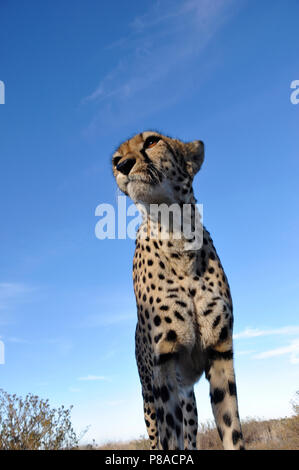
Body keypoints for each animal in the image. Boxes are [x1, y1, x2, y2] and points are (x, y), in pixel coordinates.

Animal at [111, 130, 245, 450]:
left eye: (151, 141)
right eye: (115, 157)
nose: (122, 165)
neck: (176, 232)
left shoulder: (220, 352)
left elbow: (232, 428)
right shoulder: (164, 364)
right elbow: (169, 439)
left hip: (190, 405)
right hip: (149, 401)